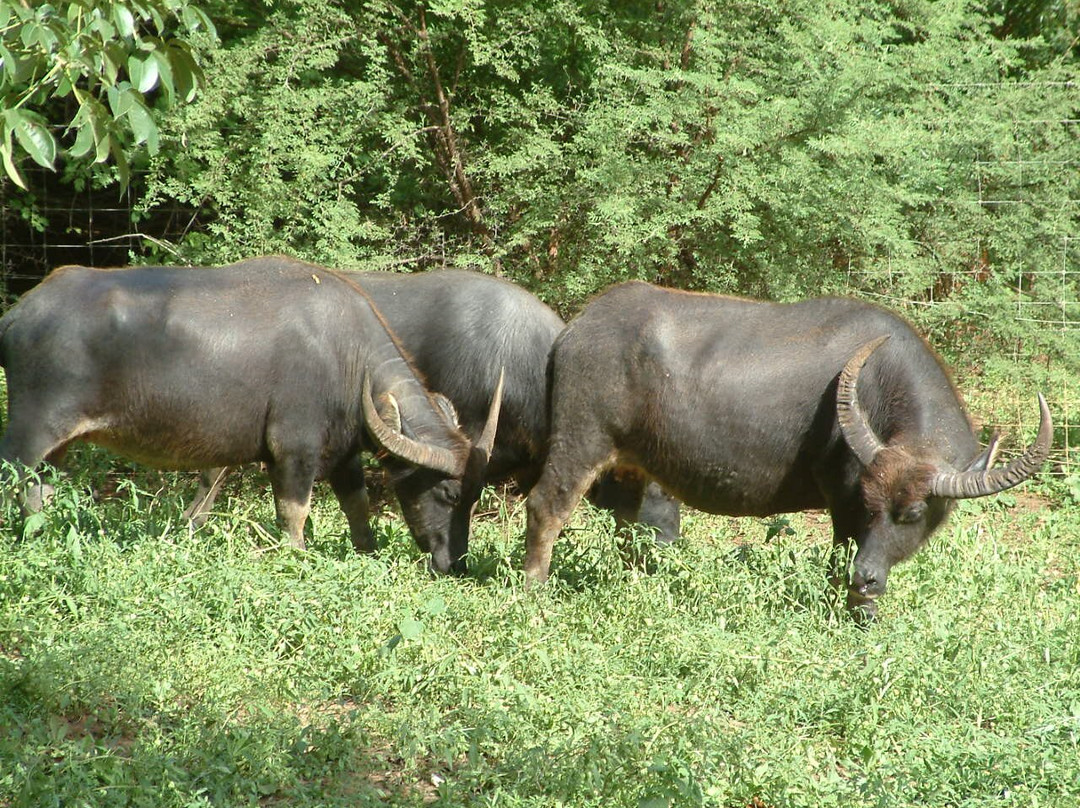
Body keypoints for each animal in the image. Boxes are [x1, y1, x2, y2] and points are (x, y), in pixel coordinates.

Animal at [0, 256, 503, 570]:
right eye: (450, 494)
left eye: (475, 497)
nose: (456, 564)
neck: (346, 357)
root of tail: (17, 316)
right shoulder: (294, 450)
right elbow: (293, 514)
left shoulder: (343, 454)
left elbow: (359, 510)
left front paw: (368, 554)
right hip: (30, 431)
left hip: (57, 446)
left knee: (38, 491)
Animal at [527, 283, 1049, 617]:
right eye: (869, 503)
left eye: (915, 512)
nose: (867, 577)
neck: (879, 381)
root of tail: (574, 330)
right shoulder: (841, 497)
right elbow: (839, 555)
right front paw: (856, 614)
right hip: (581, 441)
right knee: (546, 505)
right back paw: (535, 588)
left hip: (632, 465)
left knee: (629, 525)